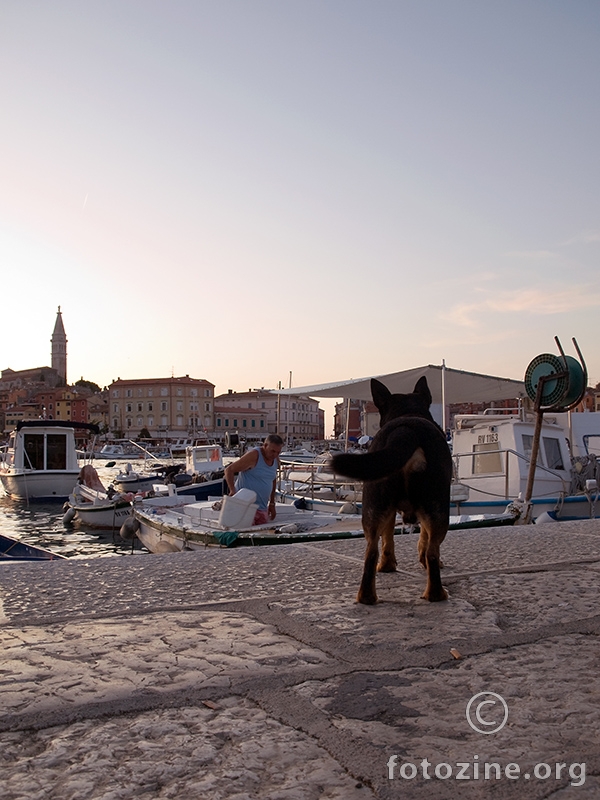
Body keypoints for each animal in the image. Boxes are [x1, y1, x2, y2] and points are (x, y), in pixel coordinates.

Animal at [332, 378, 450, 604]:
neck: (407, 412)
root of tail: (406, 430)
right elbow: (423, 539)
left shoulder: (389, 511)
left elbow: (387, 538)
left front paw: (387, 565)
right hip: (438, 509)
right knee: (432, 551)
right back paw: (436, 594)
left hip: (374, 506)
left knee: (370, 553)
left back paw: (367, 597)